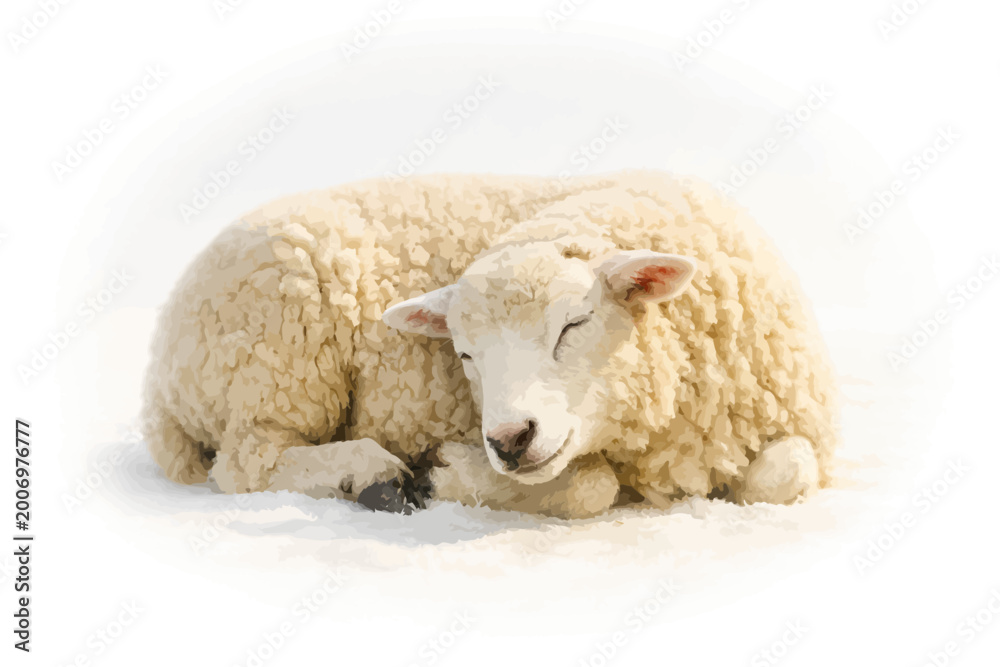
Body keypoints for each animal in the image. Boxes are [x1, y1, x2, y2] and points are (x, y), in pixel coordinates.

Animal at [142, 170, 838, 518]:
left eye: (574, 325)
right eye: (466, 355)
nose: (507, 440)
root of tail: (158, 374)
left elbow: (787, 473)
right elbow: (593, 488)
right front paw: (447, 473)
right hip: (278, 362)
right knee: (248, 463)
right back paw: (371, 476)